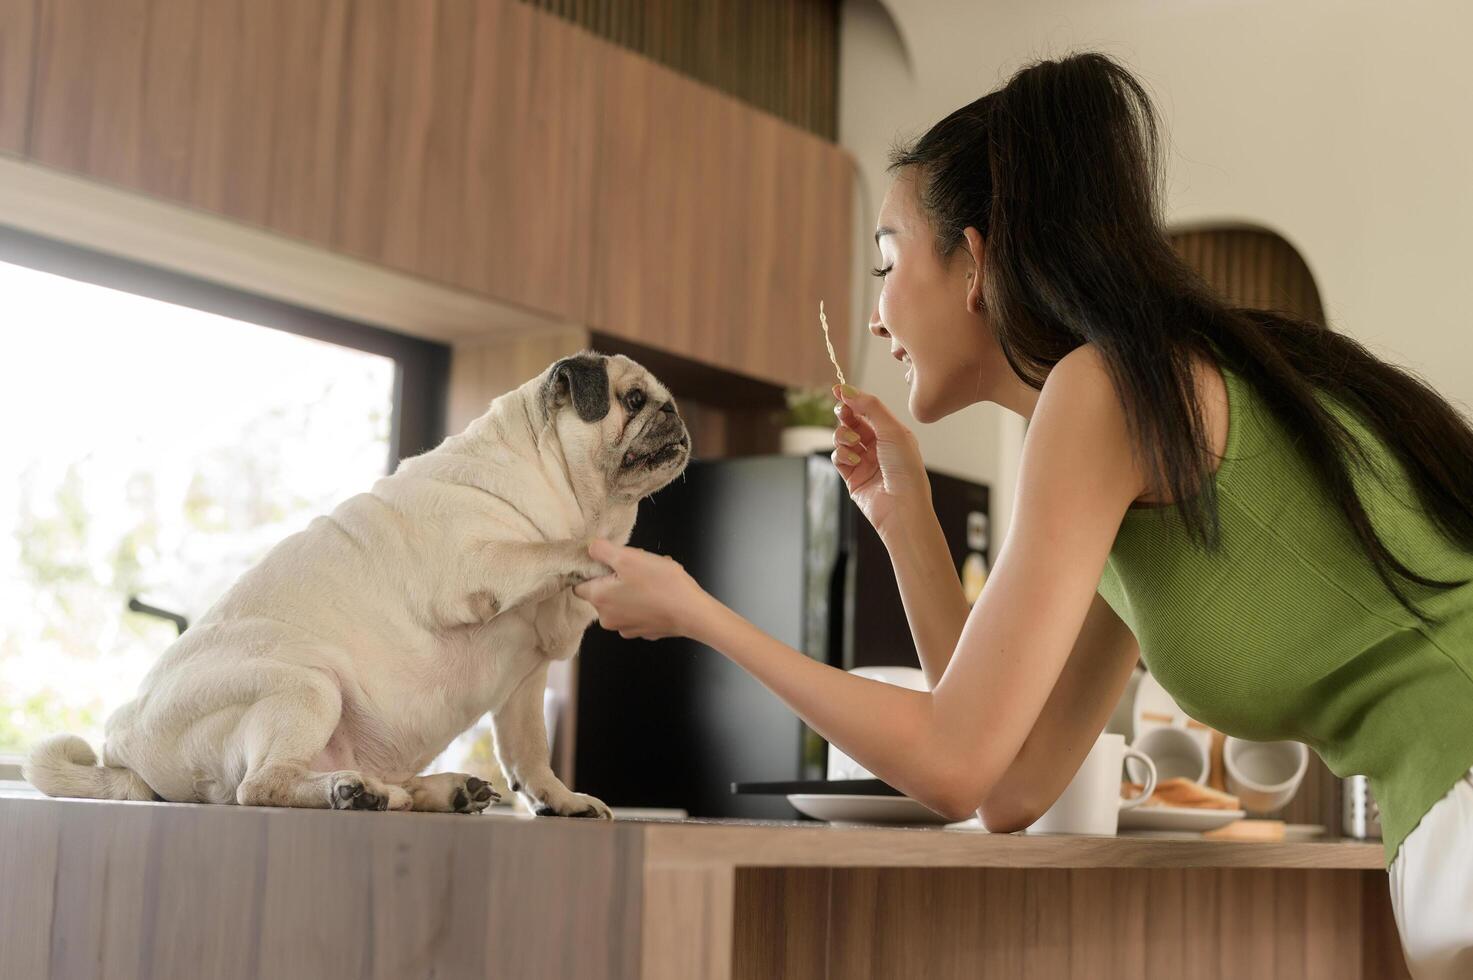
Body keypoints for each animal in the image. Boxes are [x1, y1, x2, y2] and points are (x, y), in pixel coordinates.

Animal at [23, 352, 689, 819]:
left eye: (665, 400)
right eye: (632, 399)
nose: (675, 414)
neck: (573, 500)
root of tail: (122, 752)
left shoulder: (526, 681)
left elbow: (530, 752)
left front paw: (562, 799)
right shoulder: (481, 565)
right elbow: (556, 551)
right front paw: (608, 560)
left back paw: (432, 791)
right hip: (305, 686)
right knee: (259, 785)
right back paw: (352, 792)